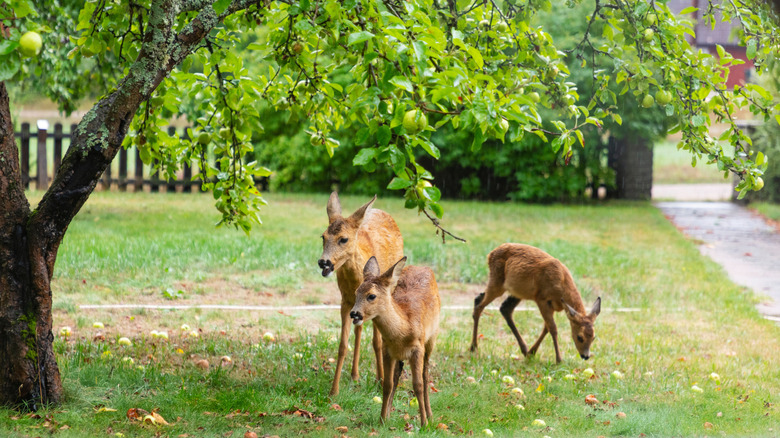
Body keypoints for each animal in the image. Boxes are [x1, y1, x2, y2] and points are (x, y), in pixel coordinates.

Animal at [318, 192, 404, 396]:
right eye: (323, 236)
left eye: (343, 239)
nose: (323, 262)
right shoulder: (345, 301)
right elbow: (342, 345)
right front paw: (334, 391)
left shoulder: (378, 300)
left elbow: (377, 342)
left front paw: (381, 381)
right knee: (359, 329)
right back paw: (354, 374)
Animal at [350, 256, 440, 428]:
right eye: (356, 291)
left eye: (371, 295)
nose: (354, 314)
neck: (404, 329)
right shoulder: (387, 350)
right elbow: (387, 384)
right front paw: (382, 420)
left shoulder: (417, 348)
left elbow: (418, 385)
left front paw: (424, 423)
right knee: (397, 375)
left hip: (432, 339)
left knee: (426, 376)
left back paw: (431, 416)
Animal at [469, 243, 601, 363]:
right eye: (580, 337)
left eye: (594, 337)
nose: (585, 356)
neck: (562, 284)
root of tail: (490, 254)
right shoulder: (541, 299)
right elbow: (553, 328)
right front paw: (558, 360)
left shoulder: (552, 305)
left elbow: (546, 328)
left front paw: (531, 352)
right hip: (497, 281)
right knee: (480, 306)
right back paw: (473, 347)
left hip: (517, 292)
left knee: (498, 306)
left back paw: (524, 349)